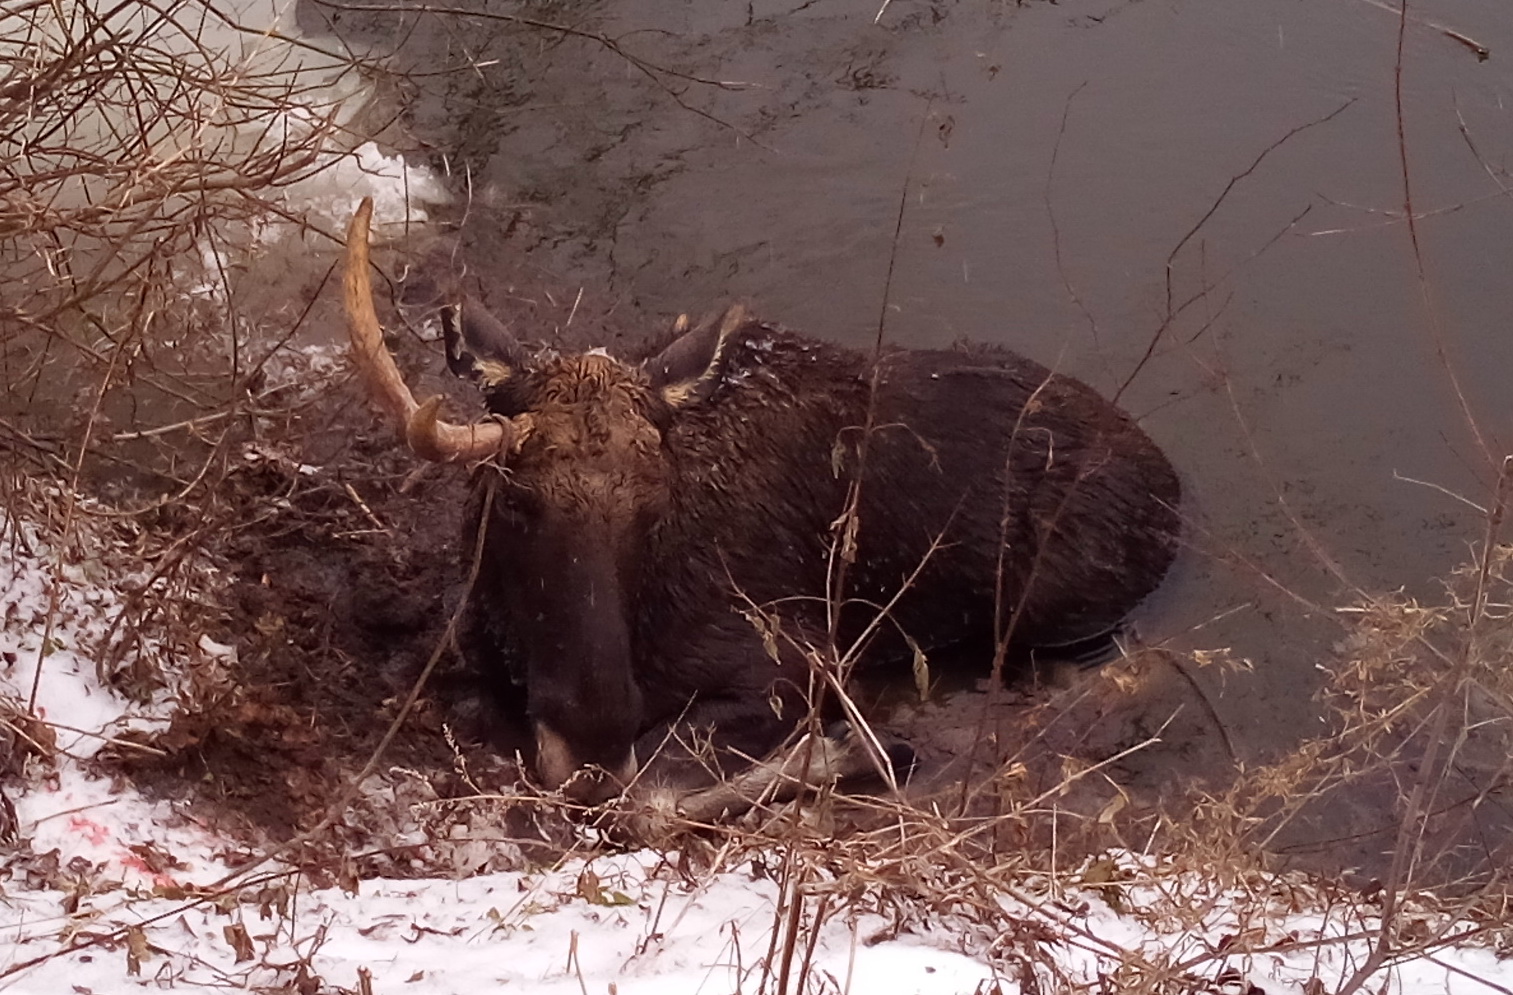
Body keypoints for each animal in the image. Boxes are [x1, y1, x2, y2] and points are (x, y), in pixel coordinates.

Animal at [346, 198, 1180, 810]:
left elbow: (650, 795)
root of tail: (1170, 488)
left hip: (1047, 616)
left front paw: (851, 747)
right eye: (516, 498)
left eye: (655, 504)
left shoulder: (792, 664)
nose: (595, 728)